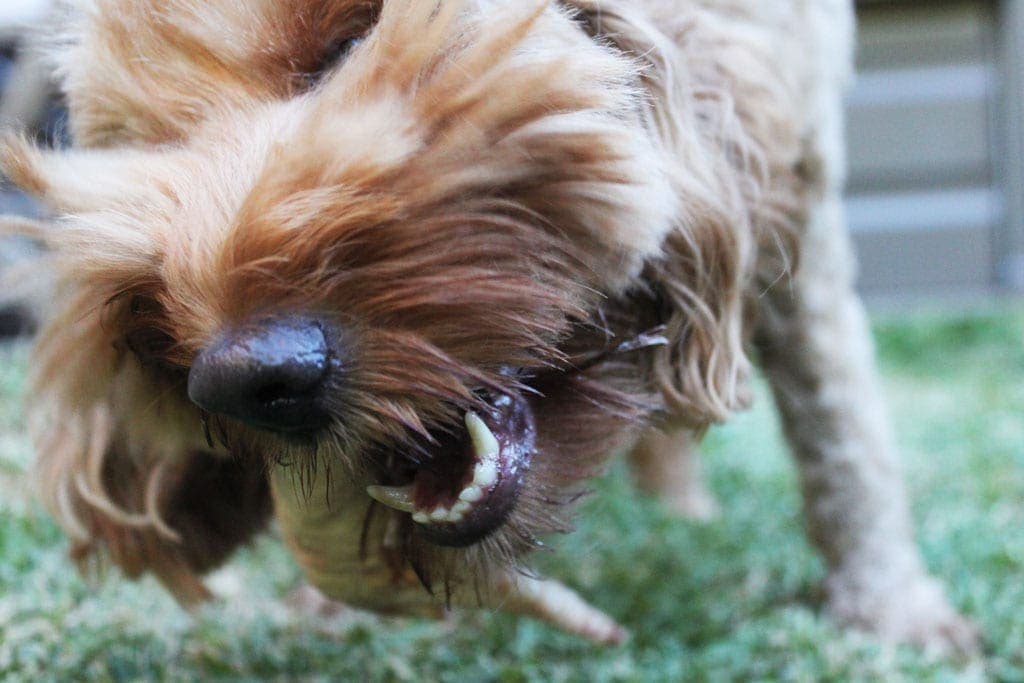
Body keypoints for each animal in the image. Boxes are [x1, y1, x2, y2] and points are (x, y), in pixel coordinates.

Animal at [0, 0, 974, 651]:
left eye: (348, 46)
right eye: (144, 148)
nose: (242, 381)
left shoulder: (795, 174)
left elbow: (841, 424)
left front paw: (895, 609)